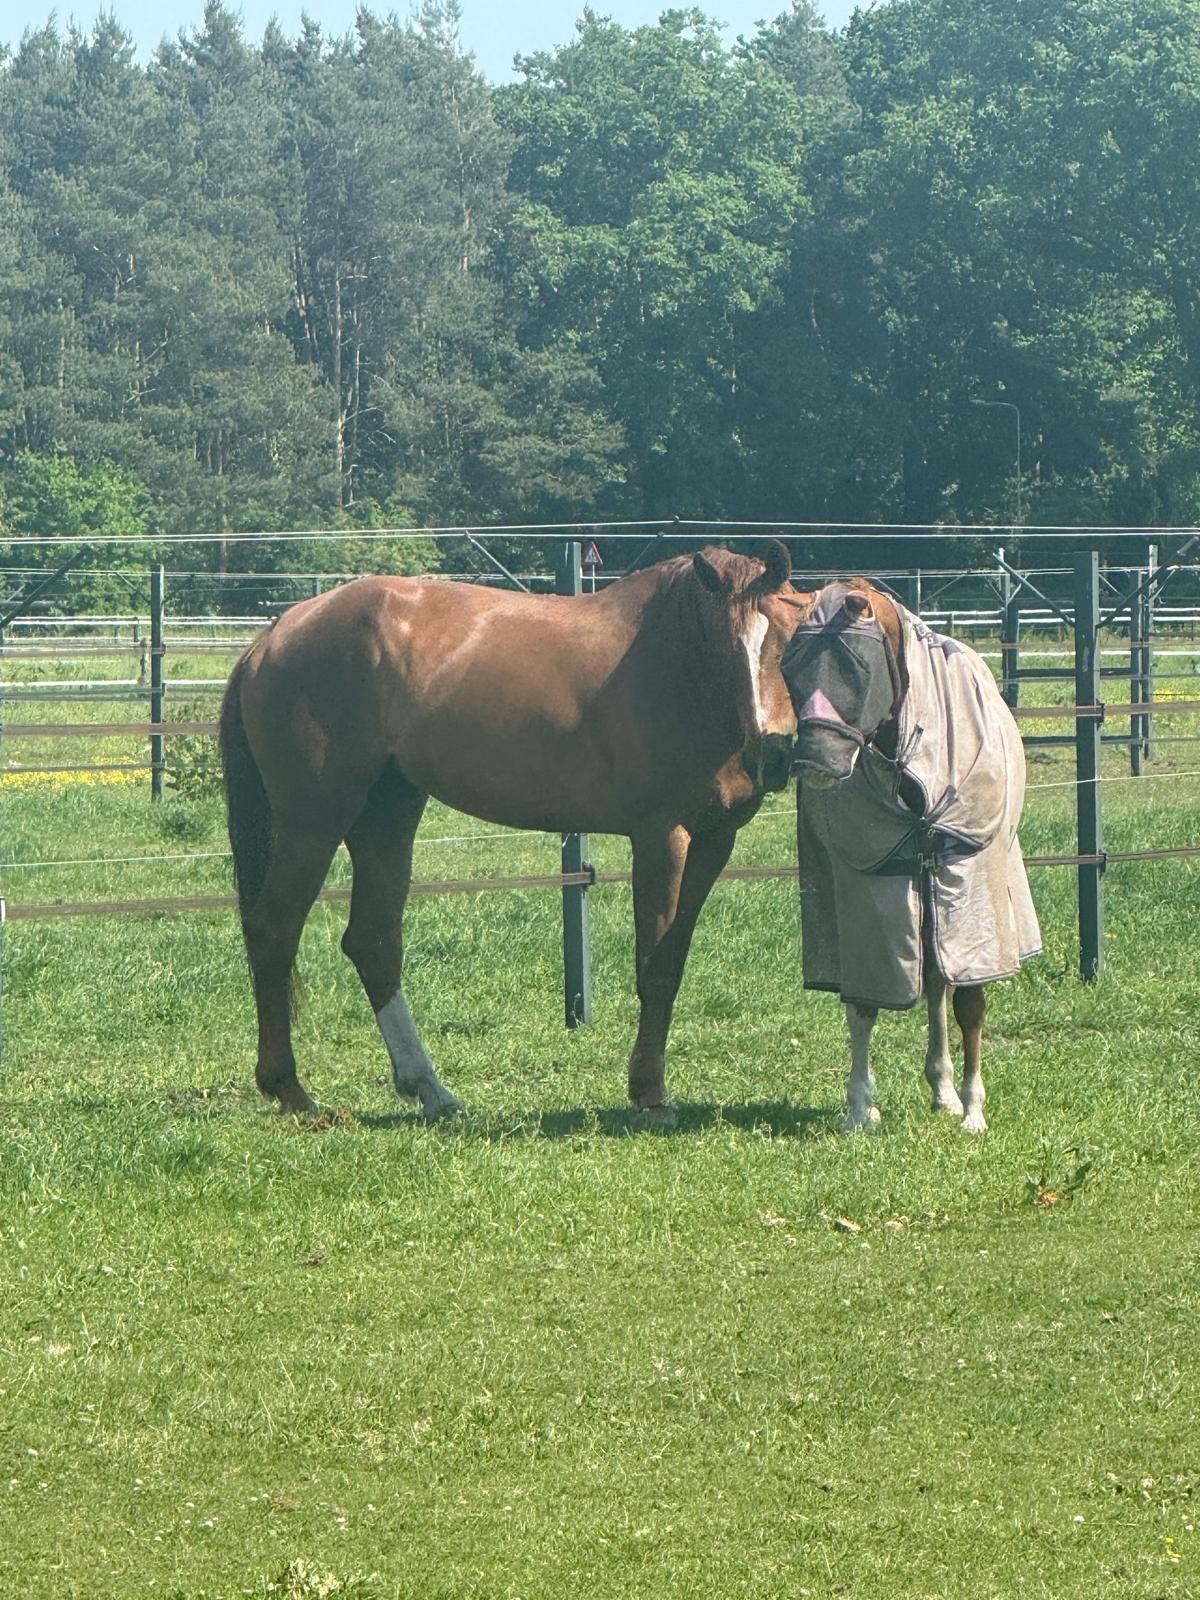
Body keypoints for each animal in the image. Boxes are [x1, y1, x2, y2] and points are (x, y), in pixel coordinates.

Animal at [219, 544, 800, 1121]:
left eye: (789, 644)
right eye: (729, 646)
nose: (773, 753)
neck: (685, 661)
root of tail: (274, 635)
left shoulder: (715, 840)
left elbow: (674, 961)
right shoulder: (662, 836)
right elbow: (654, 966)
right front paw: (650, 1095)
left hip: (387, 813)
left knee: (373, 941)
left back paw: (430, 1089)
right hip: (313, 821)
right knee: (274, 929)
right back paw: (290, 1089)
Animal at [780, 577, 1041, 1133]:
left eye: (856, 666)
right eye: (789, 667)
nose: (816, 761)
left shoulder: (965, 877)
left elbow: (970, 1000)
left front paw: (974, 1110)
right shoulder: (868, 882)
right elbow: (864, 1003)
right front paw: (860, 1108)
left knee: (943, 984)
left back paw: (949, 1094)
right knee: (932, 981)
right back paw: (939, 1086)